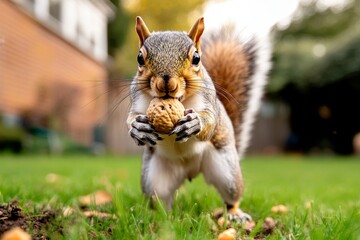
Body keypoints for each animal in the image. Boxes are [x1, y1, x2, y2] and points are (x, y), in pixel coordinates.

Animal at [126, 15, 270, 220]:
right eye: (140, 57)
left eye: (196, 58)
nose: (166, 83)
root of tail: (190, 170)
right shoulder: (137, 99)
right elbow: (130, 118)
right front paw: (137, 128)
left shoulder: (208, 101)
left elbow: (210, 122)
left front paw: (195, 124)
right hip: (153, 180)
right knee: (160, 200)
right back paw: (159, 217)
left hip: (227, 173)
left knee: (232, 197)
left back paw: (235, 214)